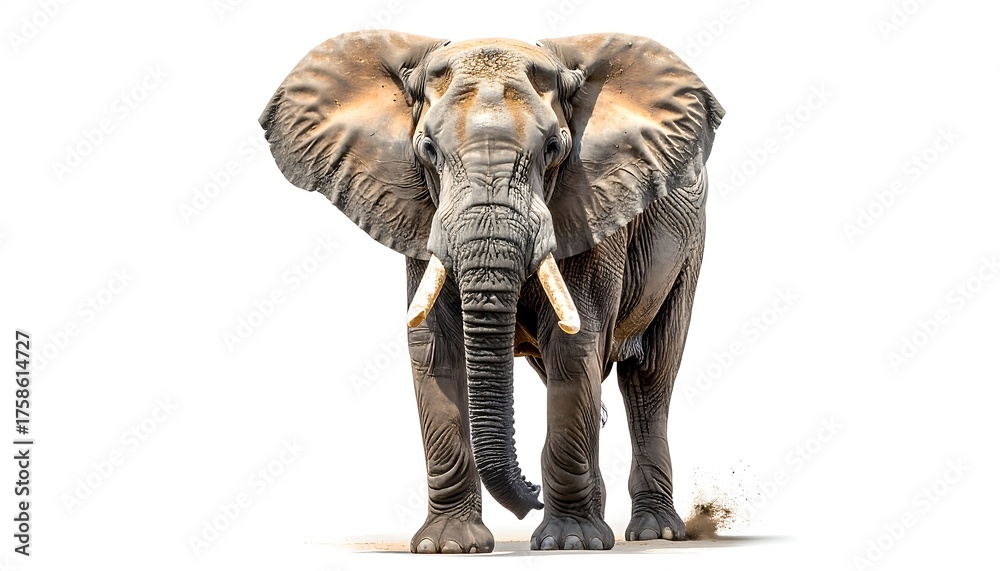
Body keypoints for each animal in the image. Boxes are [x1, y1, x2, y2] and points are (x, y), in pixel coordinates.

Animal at [259, 30, 724, 552]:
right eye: (427, 150)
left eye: (554, 148)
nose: (531, 495)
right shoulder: (424, 219)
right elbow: (434, 347)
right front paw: (447, 546)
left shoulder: (590, 209)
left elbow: (574, 346)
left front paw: (570, 543)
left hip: (689, 247)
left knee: (649, 378)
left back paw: (655, 532)